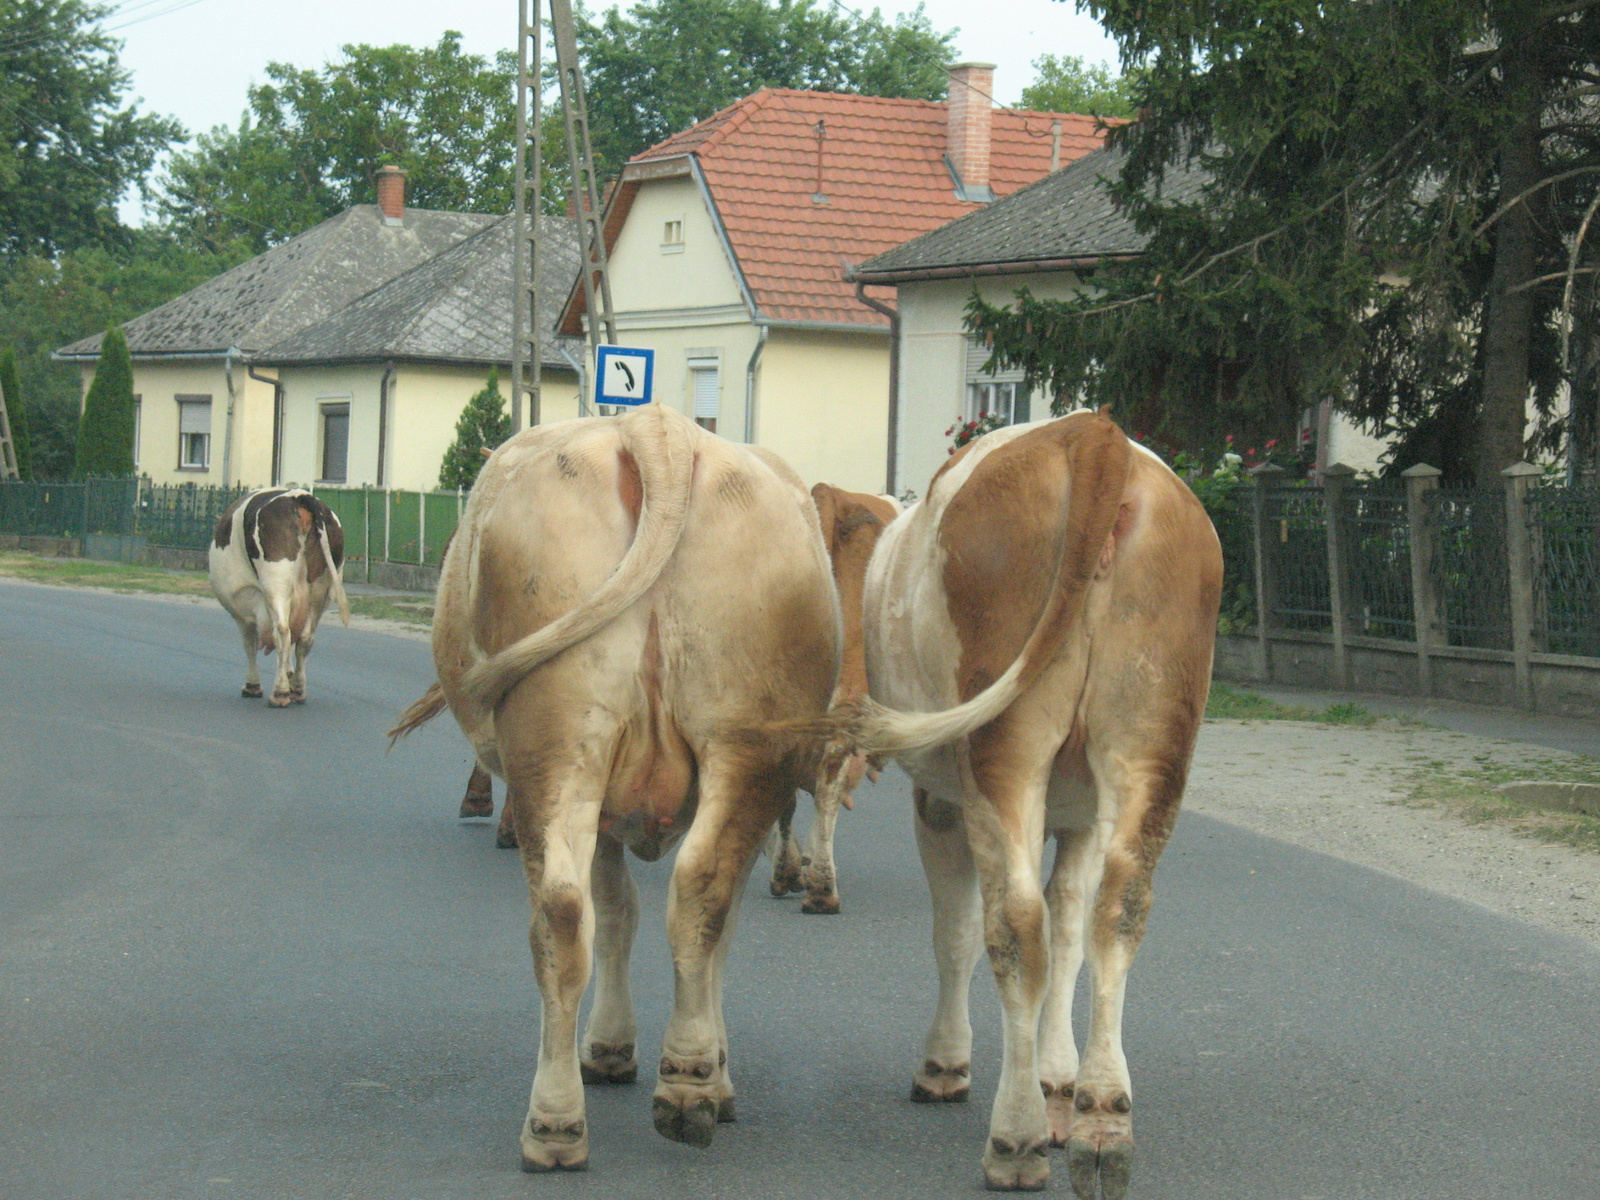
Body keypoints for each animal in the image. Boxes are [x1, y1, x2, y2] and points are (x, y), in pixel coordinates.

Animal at [209, 486, 350, 704]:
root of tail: (299, 496)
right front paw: (289, 675)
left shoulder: (242, 614)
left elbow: (249, 644)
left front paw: (252, 685)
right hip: (320, 591)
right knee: (305, 638)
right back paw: (297, 689)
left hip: (277, 582)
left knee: (282, 632)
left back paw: (280, 692)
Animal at [390, 404, 838, 1177]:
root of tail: (660, 429)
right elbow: (661, 917)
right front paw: (685, 1066)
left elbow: (620, 910)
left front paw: (610, 1047)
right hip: (738, 745)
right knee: (690, 895)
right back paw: (681, 1088)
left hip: (561, 750)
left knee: (568, 915)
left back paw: (560, 1119)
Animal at [857, 409, 1216, 1196]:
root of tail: (1093, 434)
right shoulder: (1083, 817)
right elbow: (1072, 923)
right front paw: (1062, 1086)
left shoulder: (937, 800)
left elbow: (959, 931)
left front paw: (946, 1065)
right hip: (1150, 742)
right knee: (1119, 910)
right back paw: (1104, 1118)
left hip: (1003, 751)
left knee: (1014, 925)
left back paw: (1015, 1140)